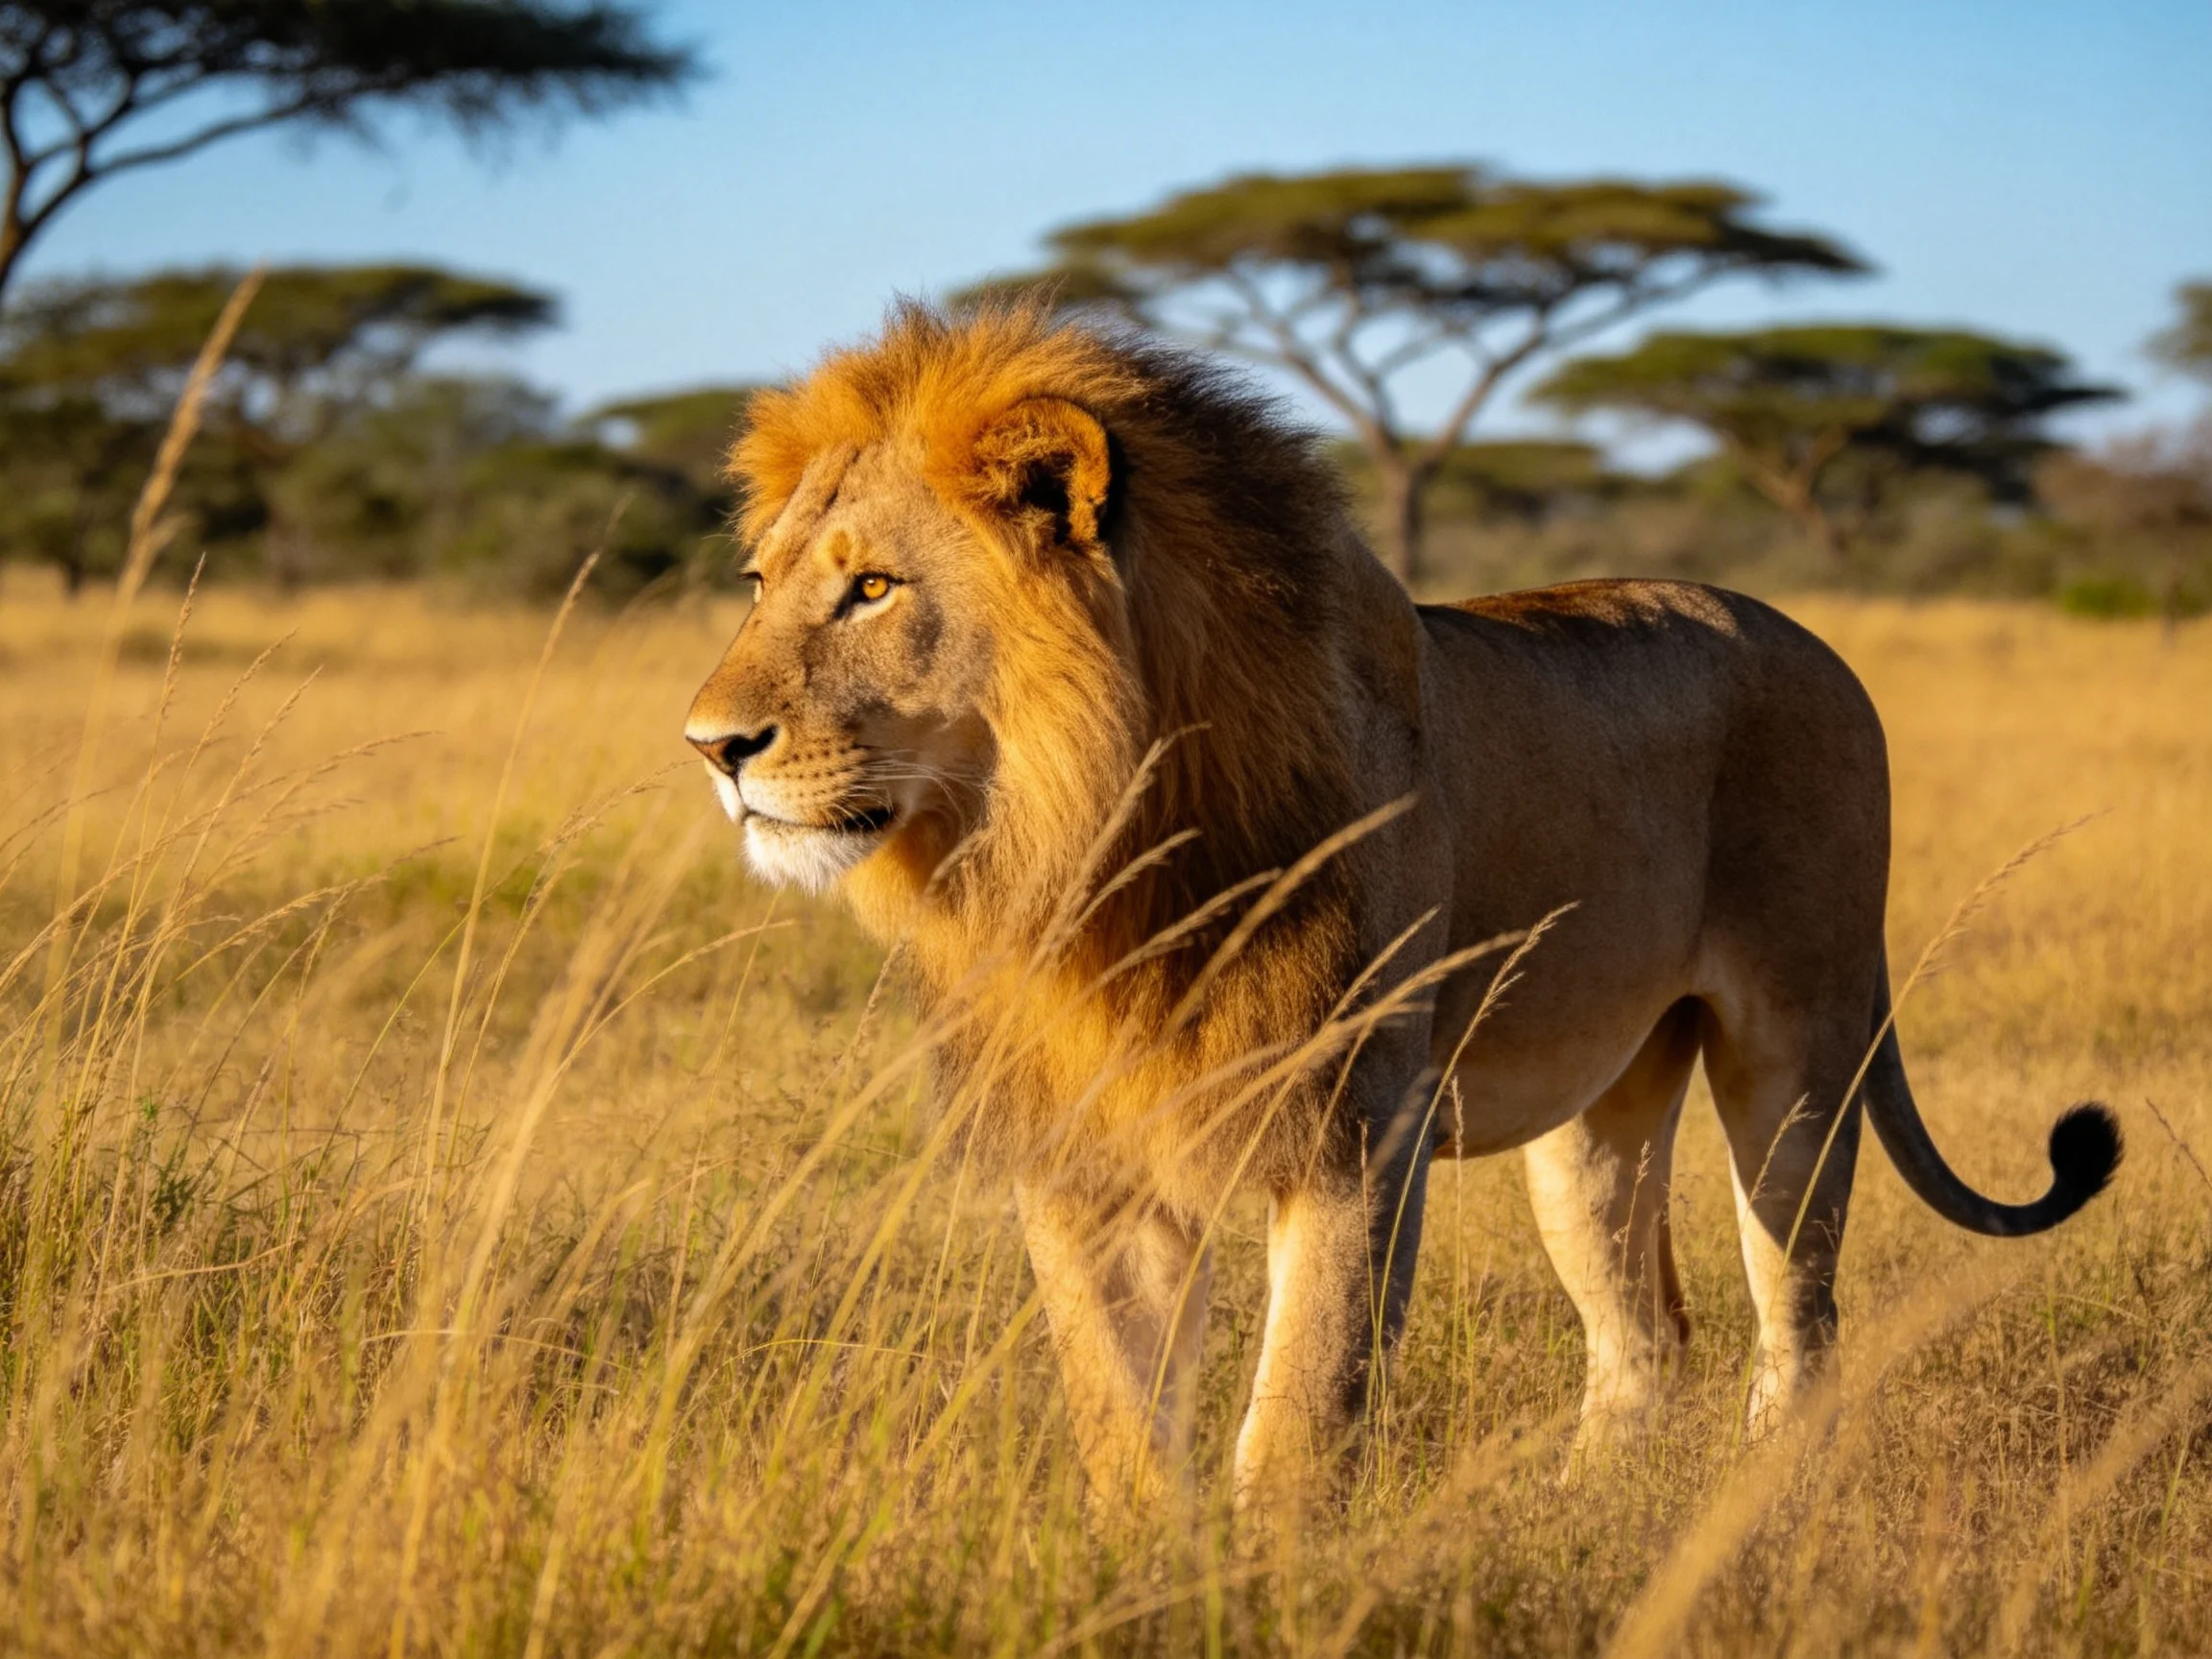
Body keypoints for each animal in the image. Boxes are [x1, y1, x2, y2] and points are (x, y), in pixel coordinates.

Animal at [684, 302, 2121, 1510]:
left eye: (874, 588)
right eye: (759, 585)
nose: (712, 747)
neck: (1085, 853)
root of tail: (1814, 641)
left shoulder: (1354, 1127)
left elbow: (1298, 1414)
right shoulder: (1087, 1155)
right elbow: (1121, 1413)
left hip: (1797, 1050)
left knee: (1800, 1318)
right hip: (1597, 1113)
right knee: (1643, 1336)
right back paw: (1579, 1521)